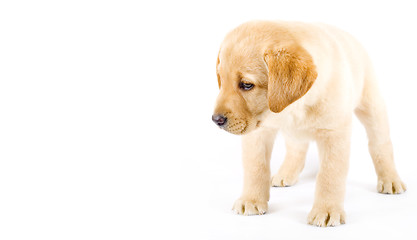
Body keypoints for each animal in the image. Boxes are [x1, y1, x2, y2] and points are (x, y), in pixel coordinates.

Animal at [213, 20, 404, 227]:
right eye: (221, 80)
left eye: (247, 85)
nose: (216, 120)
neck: (292, 108)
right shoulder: (257, 132)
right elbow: (255, 167)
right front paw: (251, 199)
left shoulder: (334, 133)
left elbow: (330, 175)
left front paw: (326, 210)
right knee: (296, 149)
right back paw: (286, 174)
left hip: (372, 105)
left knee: (380, 144)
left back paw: (391, 179)